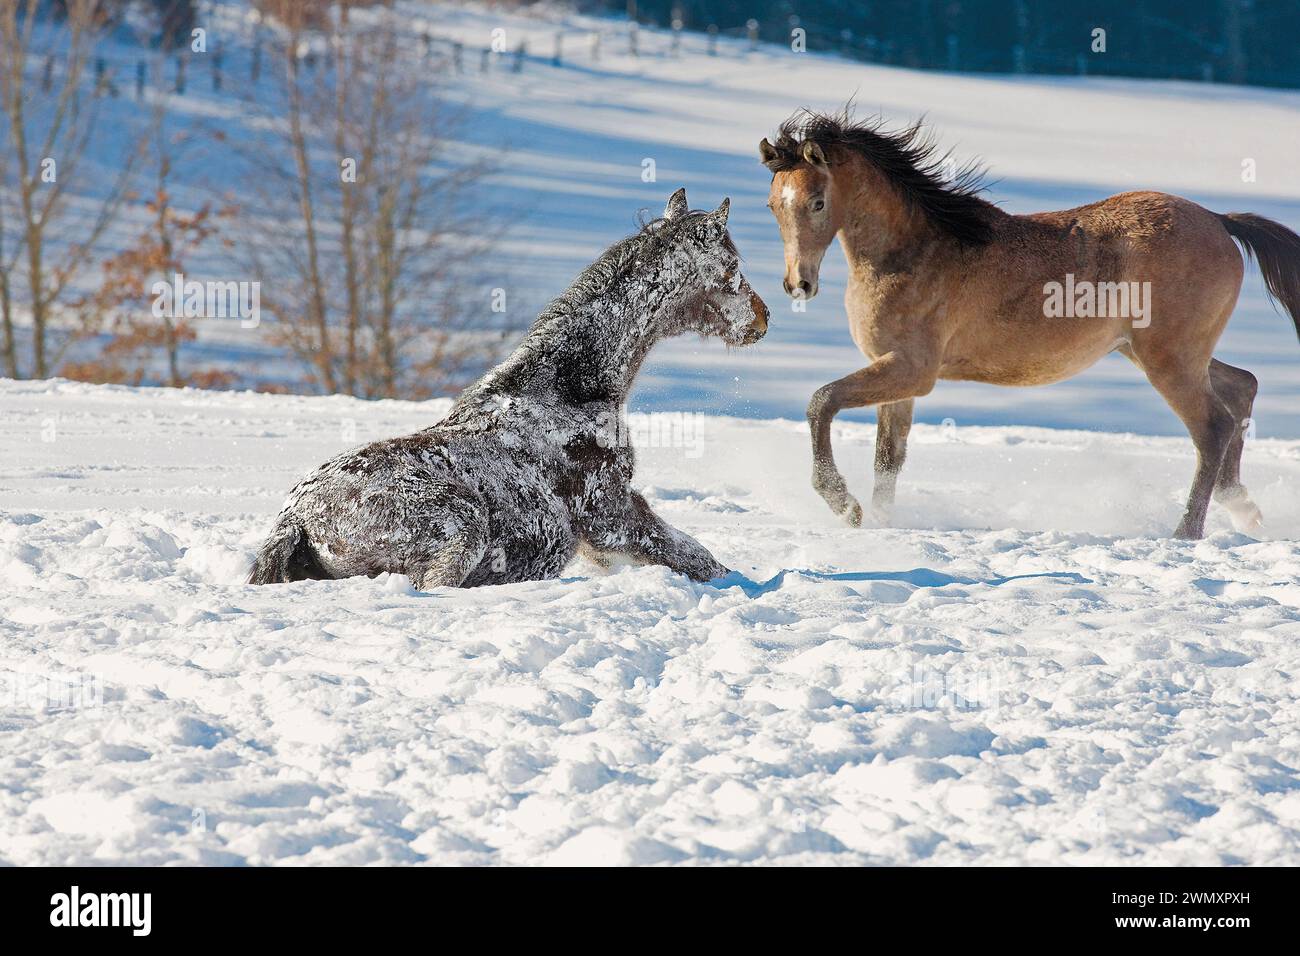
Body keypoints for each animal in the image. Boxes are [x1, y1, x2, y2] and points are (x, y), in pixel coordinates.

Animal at [248, 188, 764, 590]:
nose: (763, 318)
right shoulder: (610, 515)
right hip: (462, 529)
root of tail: (296, 520)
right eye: (731, 265)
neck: (568, 390)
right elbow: (694, 555)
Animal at [759, 106, 1300, 538]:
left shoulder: (912, 370)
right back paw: (1243, 508)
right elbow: (887, 460)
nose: (798, 284)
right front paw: (880, 522)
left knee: (1212, 427)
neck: (912, 253)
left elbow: (821, 402)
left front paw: (843, 505)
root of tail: (1219, 221)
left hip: (1169, 360)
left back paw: (1185, 532)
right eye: (772, 205)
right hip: (1158, 351)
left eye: (818, 202)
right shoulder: (897, 377)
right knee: (1242, 388)